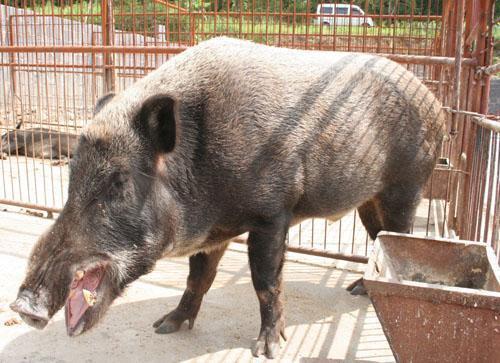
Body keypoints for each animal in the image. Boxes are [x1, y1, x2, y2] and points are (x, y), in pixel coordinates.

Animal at [8, 38, 446, 360]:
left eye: (118, 181)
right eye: (71, 177)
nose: (22, 306)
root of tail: (437, 103)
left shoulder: (272, 214)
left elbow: (266, 281)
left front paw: (266, 350)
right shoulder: (213, 232)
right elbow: (197, 278)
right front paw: (165, 326)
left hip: (408, 184)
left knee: (398, 236)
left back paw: (363, 291)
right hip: (369, 200)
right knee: (376, 236)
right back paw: (357, 287)